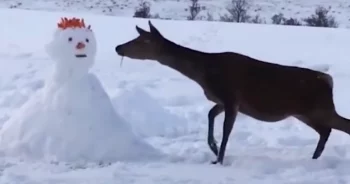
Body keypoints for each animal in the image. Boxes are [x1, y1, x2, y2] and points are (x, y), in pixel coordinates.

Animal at [114, 20, 350, 165]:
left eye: (143, 40)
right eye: (136, 38)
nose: (118, 47)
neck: (204, 75)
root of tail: (328, 81)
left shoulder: (231, 97)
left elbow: (227, 130)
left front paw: (219, 159)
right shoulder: (221, 99)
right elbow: (210, 114)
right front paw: (213, 147)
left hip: (319, 108)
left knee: (339, 126)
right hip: (304, 112)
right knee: (326, 130)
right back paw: (315, 157)